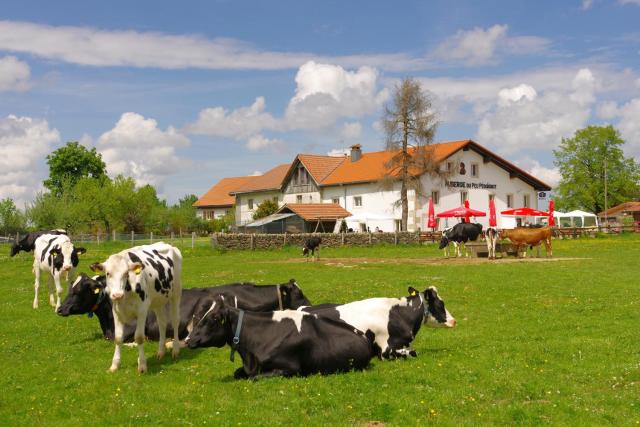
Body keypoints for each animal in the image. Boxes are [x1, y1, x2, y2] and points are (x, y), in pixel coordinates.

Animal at [90, 242, 181, 372]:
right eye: (108, 274)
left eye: (126, 274)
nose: (117, 295)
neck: (127, 292)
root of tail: (168, 245)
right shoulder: (116, 311)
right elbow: (118, 337)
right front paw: (114, 365)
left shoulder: (142, 311)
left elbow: (139, 337)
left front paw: (142, 365)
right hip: (157, 301)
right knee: (162, 323)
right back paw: (160, 352)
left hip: (176, 293)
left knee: (175, 320)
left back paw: (176, 350)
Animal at [186, 294, 376, 382]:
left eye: (212, 319)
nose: (188, 339)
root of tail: (364, 336)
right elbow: (239, 373)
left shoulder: (290, 369)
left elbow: (253, 378)